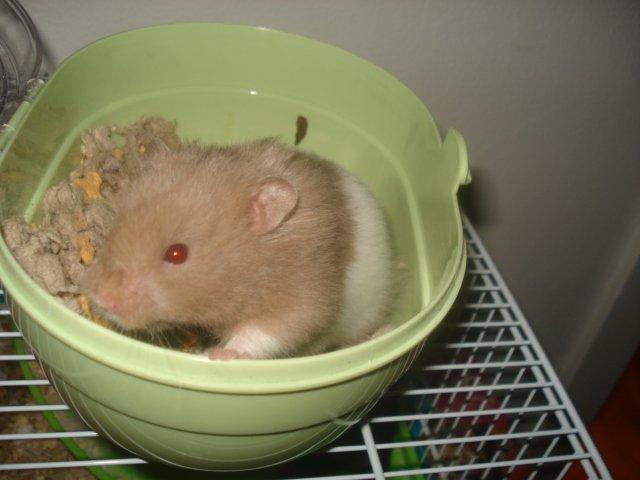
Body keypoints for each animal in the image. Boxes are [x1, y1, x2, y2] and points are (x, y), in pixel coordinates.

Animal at [82, 139, 392, 360]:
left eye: (177, 253)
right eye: (116, 224)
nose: (101, 298)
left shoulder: (307, 300)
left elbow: (262, 333)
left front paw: (219, 355)